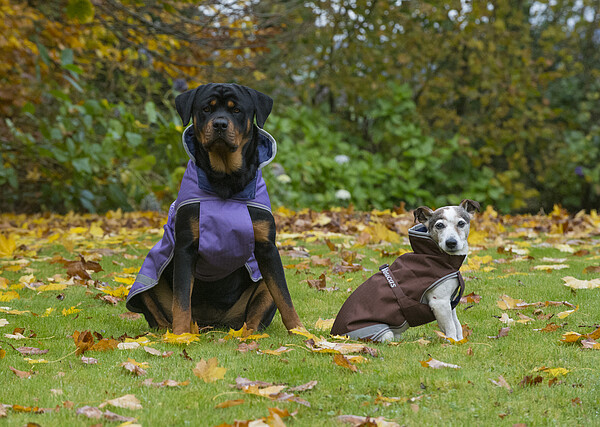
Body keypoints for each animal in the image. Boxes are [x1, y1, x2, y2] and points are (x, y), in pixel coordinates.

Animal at [330, 201, 480, 344]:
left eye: (461, 223)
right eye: (439, 225)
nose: (451, 243)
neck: (437, 257)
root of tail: (336, 334)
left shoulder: (449, 302)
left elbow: (457, 324)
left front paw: (460, 340)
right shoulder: (439, 303)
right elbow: (450, 327)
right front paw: (452, 342)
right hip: (382, 332)